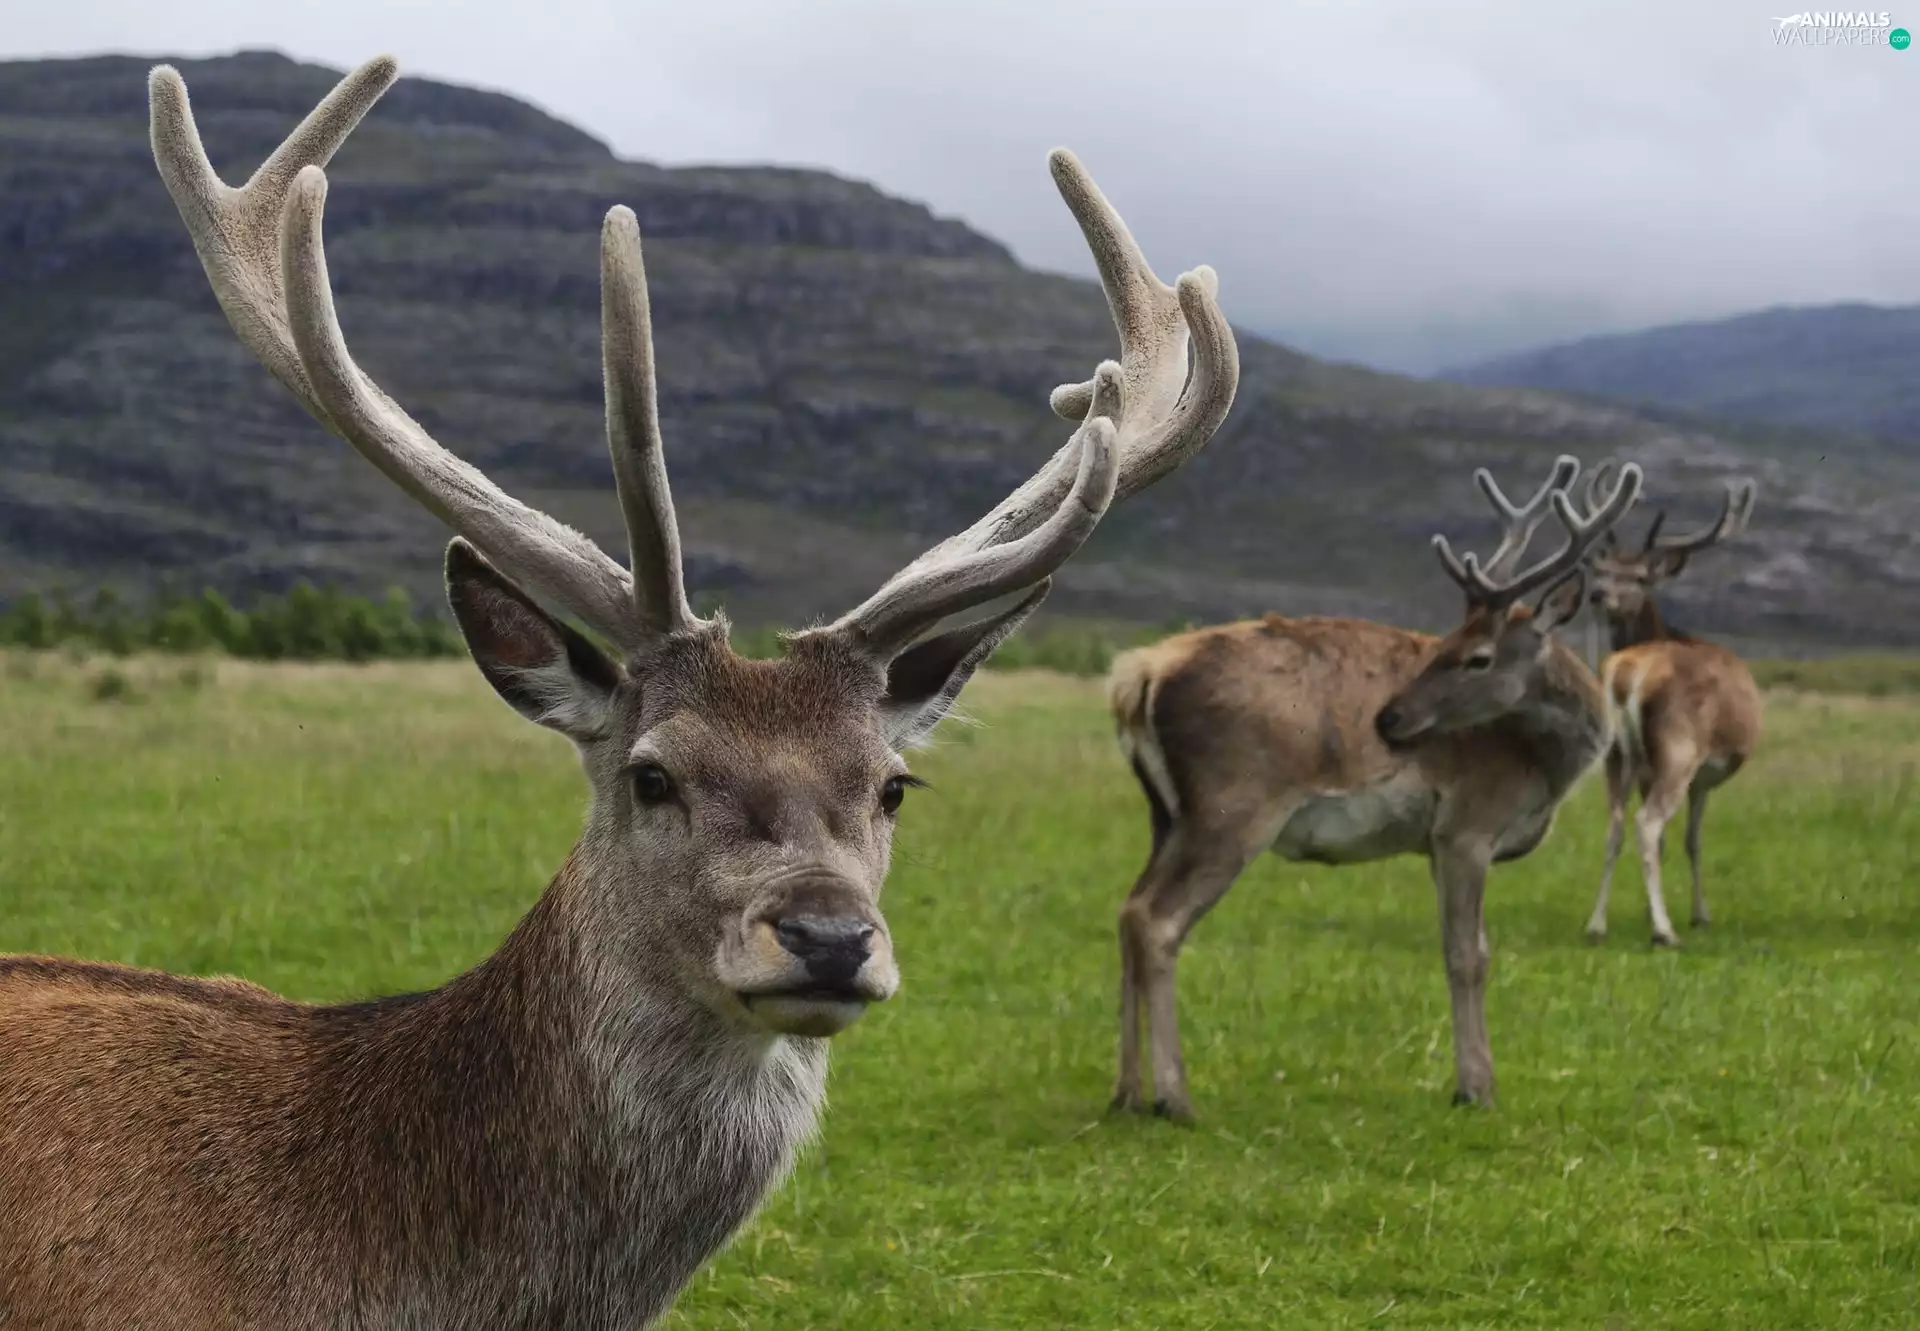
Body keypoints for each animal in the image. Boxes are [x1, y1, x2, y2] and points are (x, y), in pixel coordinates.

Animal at [1106, 454, 1643, 1121]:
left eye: (1476, 655)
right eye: (1445, 645)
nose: (1388, 719)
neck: (1543, 767)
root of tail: (1136, 678)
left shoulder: (1437, 844)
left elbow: (1468, 948)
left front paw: (1475, 1080)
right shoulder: (1467, 826)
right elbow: (1468, 955)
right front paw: (1476, 1087)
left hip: (1166, 814)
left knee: (1128, 910)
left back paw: (1126, 1092)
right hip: (1232, 808)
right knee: (1158, 920)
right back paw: (1174, 1096)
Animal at [1580, 467, 1762, 947]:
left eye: (1641, 576)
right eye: (1604, 570)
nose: (1597, 593)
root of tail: (1627, 673)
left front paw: (1649, 911)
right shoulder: (1703, 776)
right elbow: (1692, 841)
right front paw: (1698, 914)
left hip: (1616, 755)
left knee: (1614, 826)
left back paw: (1596, 924)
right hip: (1679, 749)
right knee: (1646, 824)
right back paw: (1665, 932)